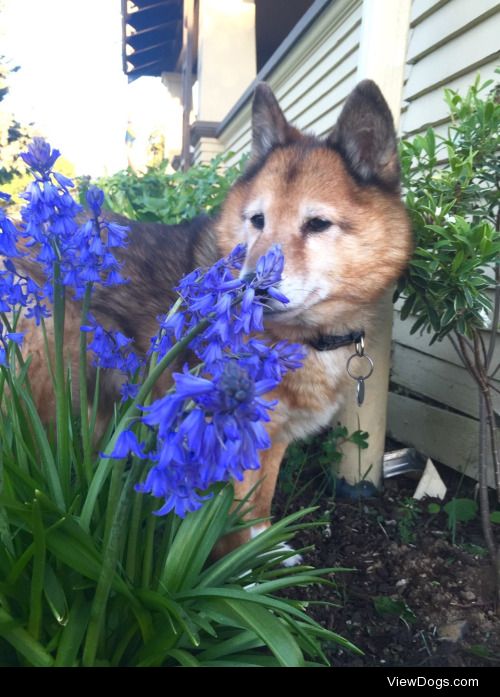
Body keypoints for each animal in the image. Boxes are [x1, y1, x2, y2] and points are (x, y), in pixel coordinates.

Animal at [19, 80, 412, 556]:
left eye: (318, 224)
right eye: (257, 220)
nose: (254, 289)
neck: (306, 337)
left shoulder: (269, 440)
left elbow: (261, 505)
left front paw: (265, 552)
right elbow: (236, 518)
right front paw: (243, 565)